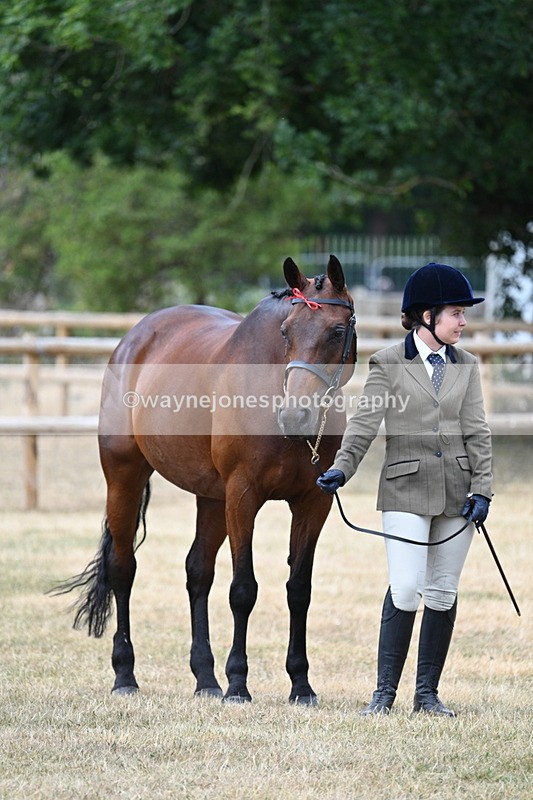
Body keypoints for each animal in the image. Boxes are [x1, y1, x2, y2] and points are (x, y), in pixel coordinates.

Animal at [53, 255, 357, 705]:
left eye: (337, 331)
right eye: (286, 331)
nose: (295, 415)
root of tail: (134, 337)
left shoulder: (311, 503)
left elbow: (298, 590)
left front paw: (300, 685)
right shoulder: (243, 496)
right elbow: (243, 590)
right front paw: (239, 684)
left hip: (211, 499)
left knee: (198, 572)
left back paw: (206, 679)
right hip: (124, 477)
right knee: (123, 568)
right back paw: (126, 675)